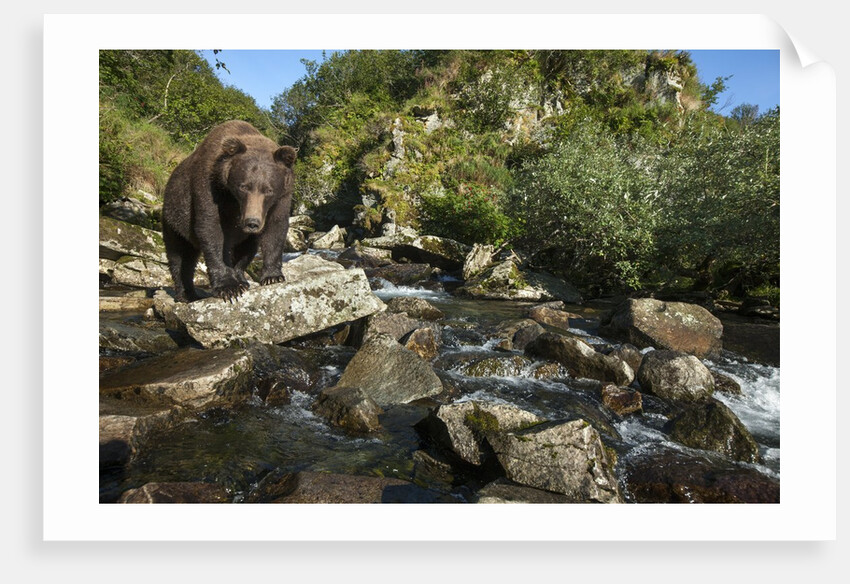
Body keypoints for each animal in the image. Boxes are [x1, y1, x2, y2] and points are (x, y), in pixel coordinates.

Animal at [162, 120, 297, 302]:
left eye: (268, 190)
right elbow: (211, 228)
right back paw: (187, 294)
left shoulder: (282, 196)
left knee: (247, 248)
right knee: (180, 257)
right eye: (243, 186)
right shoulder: (208, 187)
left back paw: (241, 279)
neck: (233, 199)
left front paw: (272, 276)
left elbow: (276, 227)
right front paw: (228, 287)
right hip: (175, 219)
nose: (252, 222)